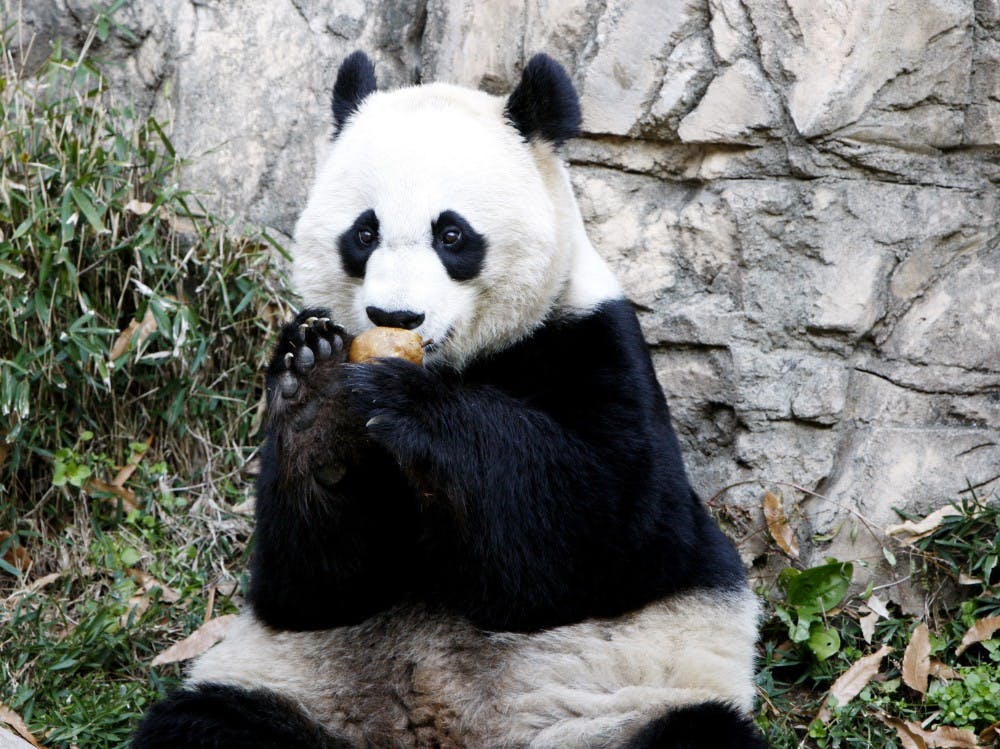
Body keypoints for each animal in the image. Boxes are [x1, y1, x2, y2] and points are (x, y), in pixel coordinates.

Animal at [133, 52, 764, 749]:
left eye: (453, 235)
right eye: (365, 232)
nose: (395, 316)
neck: (459, 361)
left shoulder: (596, 344)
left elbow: (610, 528)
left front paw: (412, 406)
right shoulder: (303, 604)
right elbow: (312, 586)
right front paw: (315, 392)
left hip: (618, 705)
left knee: (691, 732)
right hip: (293, 690)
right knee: (207, 723)